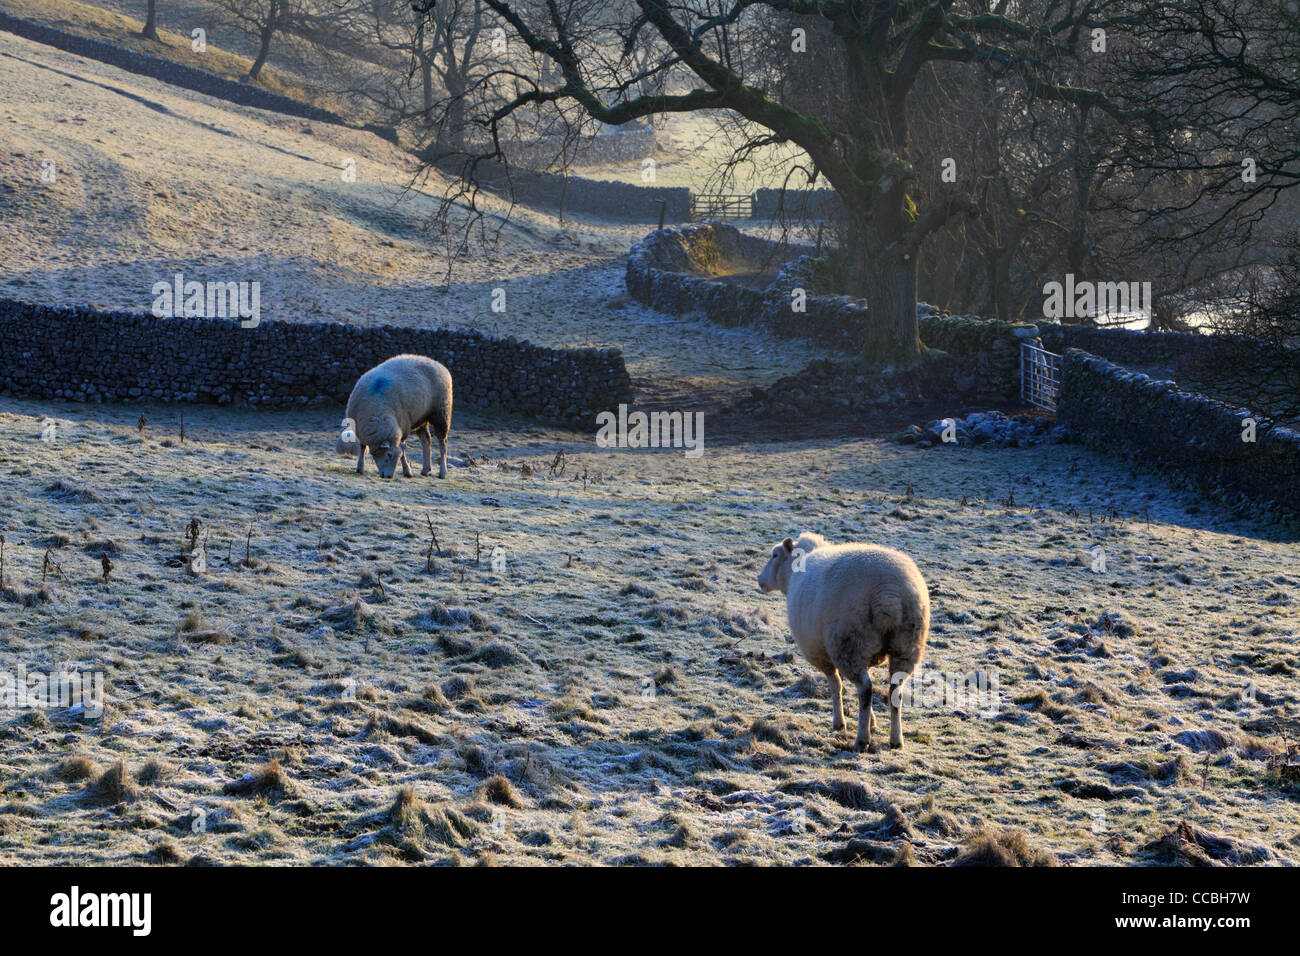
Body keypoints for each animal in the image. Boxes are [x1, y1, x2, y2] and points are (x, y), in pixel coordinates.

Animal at [759, 535, 930, 749]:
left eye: (775, 555)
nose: (760, 580)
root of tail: (889, 593)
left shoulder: (821, 654)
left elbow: (835, 685)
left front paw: (839, 723)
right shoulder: (867, 655)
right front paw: (872, 721)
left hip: (849, 643)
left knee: (865, 689)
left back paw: (862, 740)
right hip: (906, 646)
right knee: (894, 689)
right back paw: (896, 740)